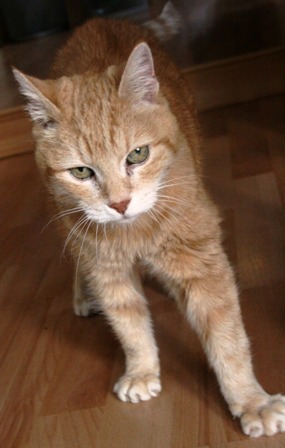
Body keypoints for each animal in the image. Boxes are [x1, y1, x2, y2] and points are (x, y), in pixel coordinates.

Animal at [13, 2, 285, 438]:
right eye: (82, 172)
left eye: (137, 154)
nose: (119, 203)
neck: (135, 230)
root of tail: (97, 20)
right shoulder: (106, 268)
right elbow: (130, 326)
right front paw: (142, 370)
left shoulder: (202, 263)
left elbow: (227, 339)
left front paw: (250, 401)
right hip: (70, 224)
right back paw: (84, 292)